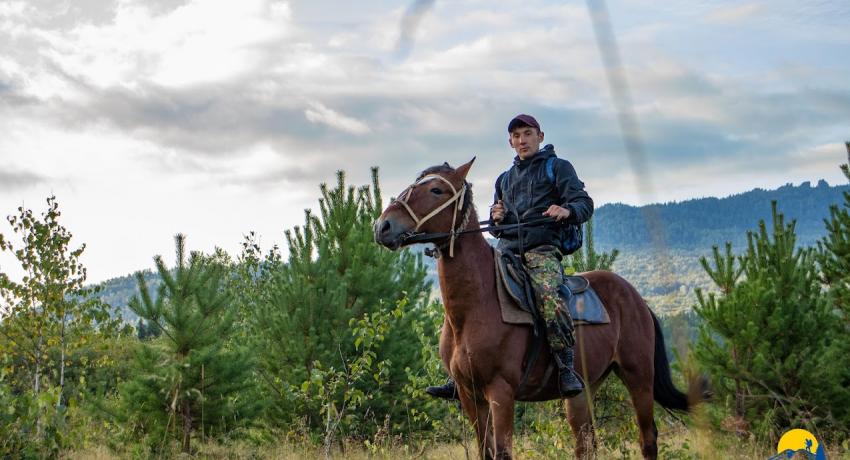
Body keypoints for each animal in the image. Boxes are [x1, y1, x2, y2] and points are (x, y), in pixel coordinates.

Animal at [374, 159, 692, 460]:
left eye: (436, 190)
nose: (382, 227)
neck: (472, 308)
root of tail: (637, 299)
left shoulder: (501, 391)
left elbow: (502, 452)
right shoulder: (468, 394)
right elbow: (485, 451)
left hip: (638, 376)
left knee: (647, 439)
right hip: (582, 391)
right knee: (586, 444)